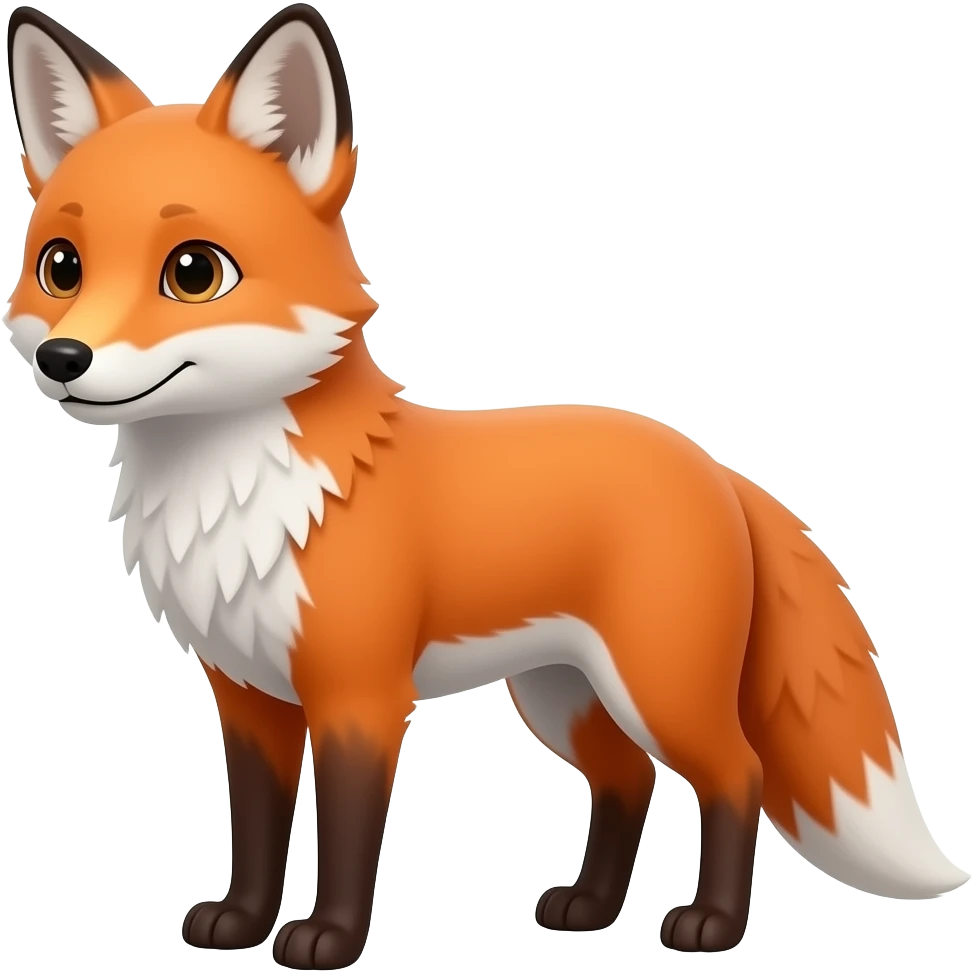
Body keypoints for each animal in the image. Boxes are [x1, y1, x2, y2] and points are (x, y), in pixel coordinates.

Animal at [3, 4, 968, 969]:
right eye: (61, 266)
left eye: (193, 272)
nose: (64, 359)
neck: (241, 494)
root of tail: (711, 464)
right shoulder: (248, 696)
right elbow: (258, 826)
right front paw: (240, 923)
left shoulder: (360, 694)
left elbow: (346, 833)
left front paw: (328, 938)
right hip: (562, 695)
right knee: (627, 779)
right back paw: (588, 906)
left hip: (658, 688)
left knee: (738, 775)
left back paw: (711, 925)